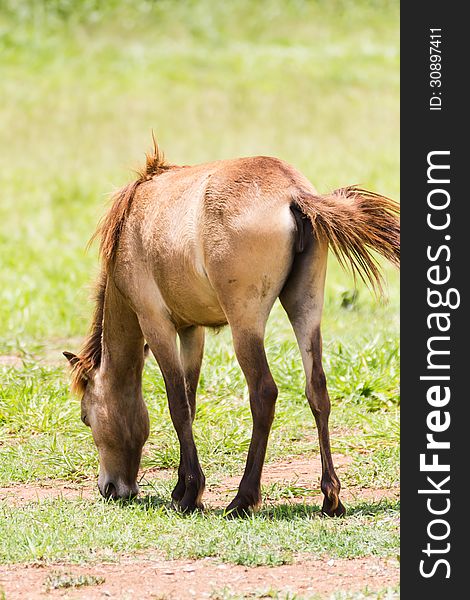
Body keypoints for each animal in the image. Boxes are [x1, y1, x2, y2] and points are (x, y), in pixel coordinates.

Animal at [63, 143, 400, 516]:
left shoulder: (156, 324)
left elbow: (178, 405)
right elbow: (191, 402)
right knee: (317, 391)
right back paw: (331, 496)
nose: (110, 488)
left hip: (245, 325)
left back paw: (243, 498)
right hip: (306, 310)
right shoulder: (191, 330)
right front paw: (182, 489)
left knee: (263, 394)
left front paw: (190, 493)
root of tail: (292, 193)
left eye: (86, 418)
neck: (134, 220)